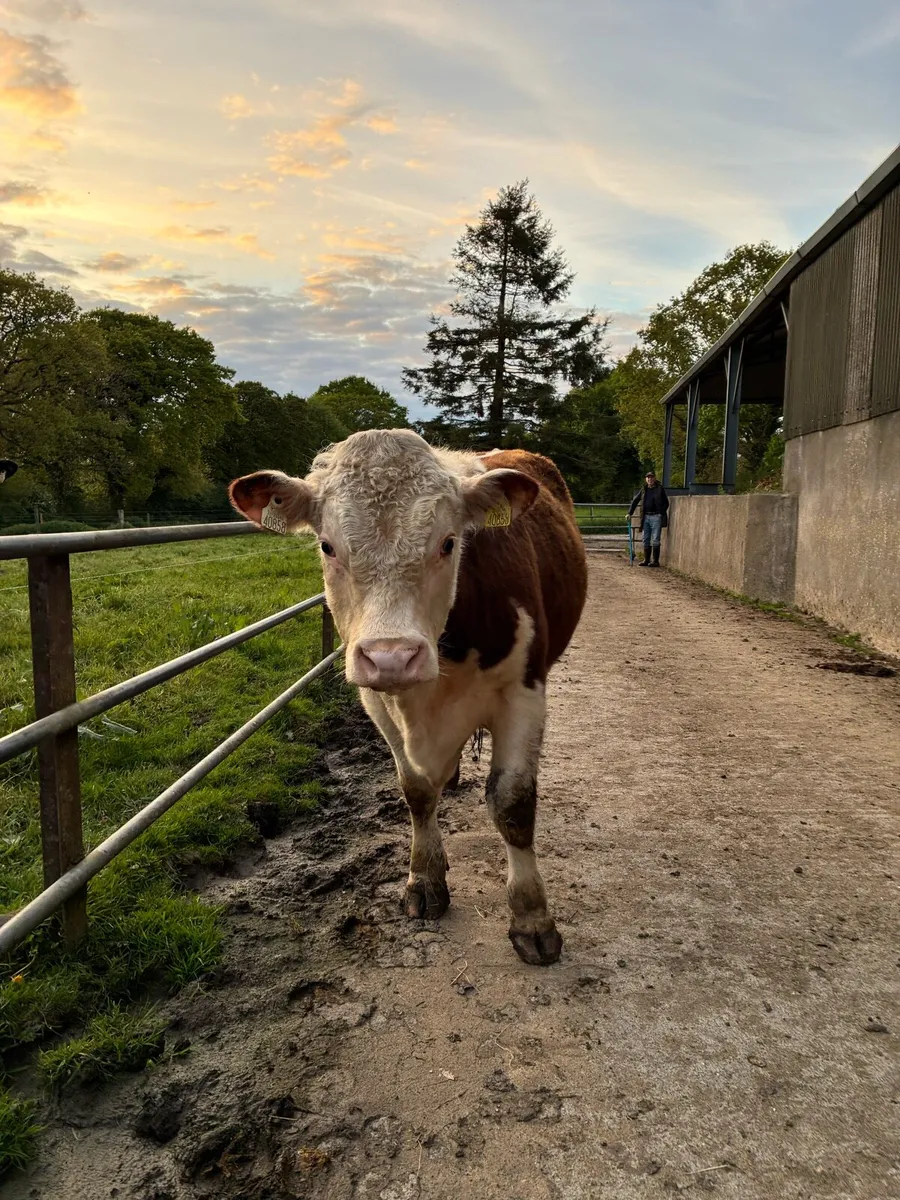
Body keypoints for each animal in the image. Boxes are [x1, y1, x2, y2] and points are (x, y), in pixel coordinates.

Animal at [229, 429, 587, 965]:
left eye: (449, 543)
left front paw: (532, 916)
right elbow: (416, 790)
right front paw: (425, 878)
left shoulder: (524, 692)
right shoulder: (376, 699)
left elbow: (513, 803)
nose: (392, 657)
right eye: (327, 545)